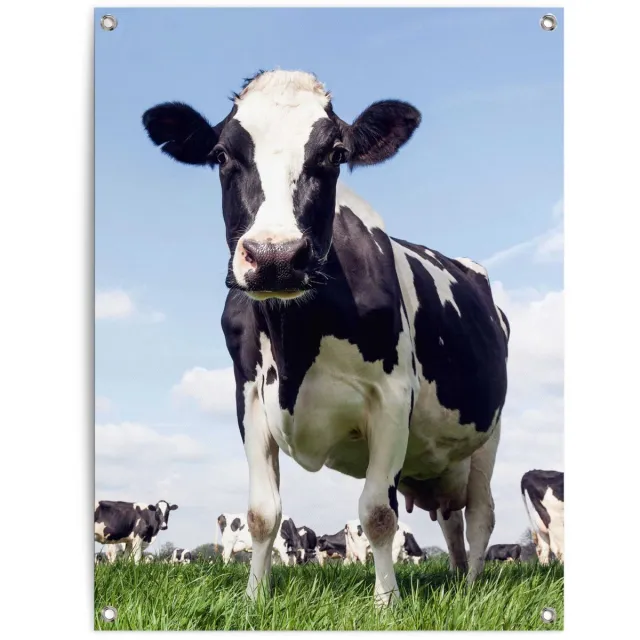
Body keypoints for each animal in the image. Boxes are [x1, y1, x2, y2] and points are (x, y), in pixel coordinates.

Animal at [142, 68, 510, 606]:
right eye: (222, 155)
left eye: (335, 154)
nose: (274, 256)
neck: (297, 341)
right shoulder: (250, 398)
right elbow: (262, 513)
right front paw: (254, 599)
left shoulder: (393, 398)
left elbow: (378, 513)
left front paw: (386, 602)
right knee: (450, 519)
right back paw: (459, 577)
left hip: (488, 435)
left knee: (480, 513)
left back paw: (473, 586)